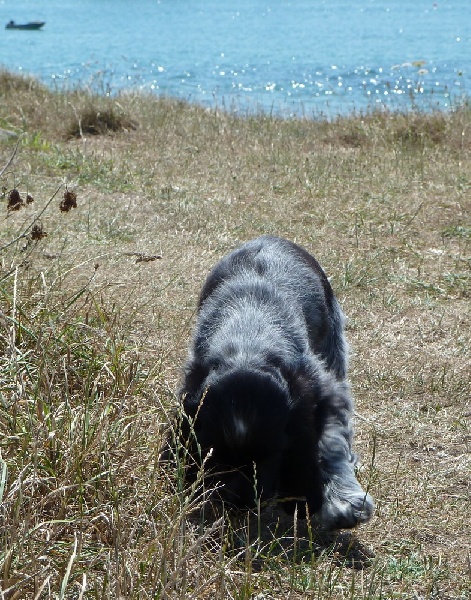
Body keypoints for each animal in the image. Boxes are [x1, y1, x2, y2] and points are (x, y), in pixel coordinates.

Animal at [173, 236, 376, 528]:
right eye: (217, 456)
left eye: (273, 454)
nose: (240, 504)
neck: (248, 343)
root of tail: (269, 238)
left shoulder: (322, 391)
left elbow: (329, 445)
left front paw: (342, 502)